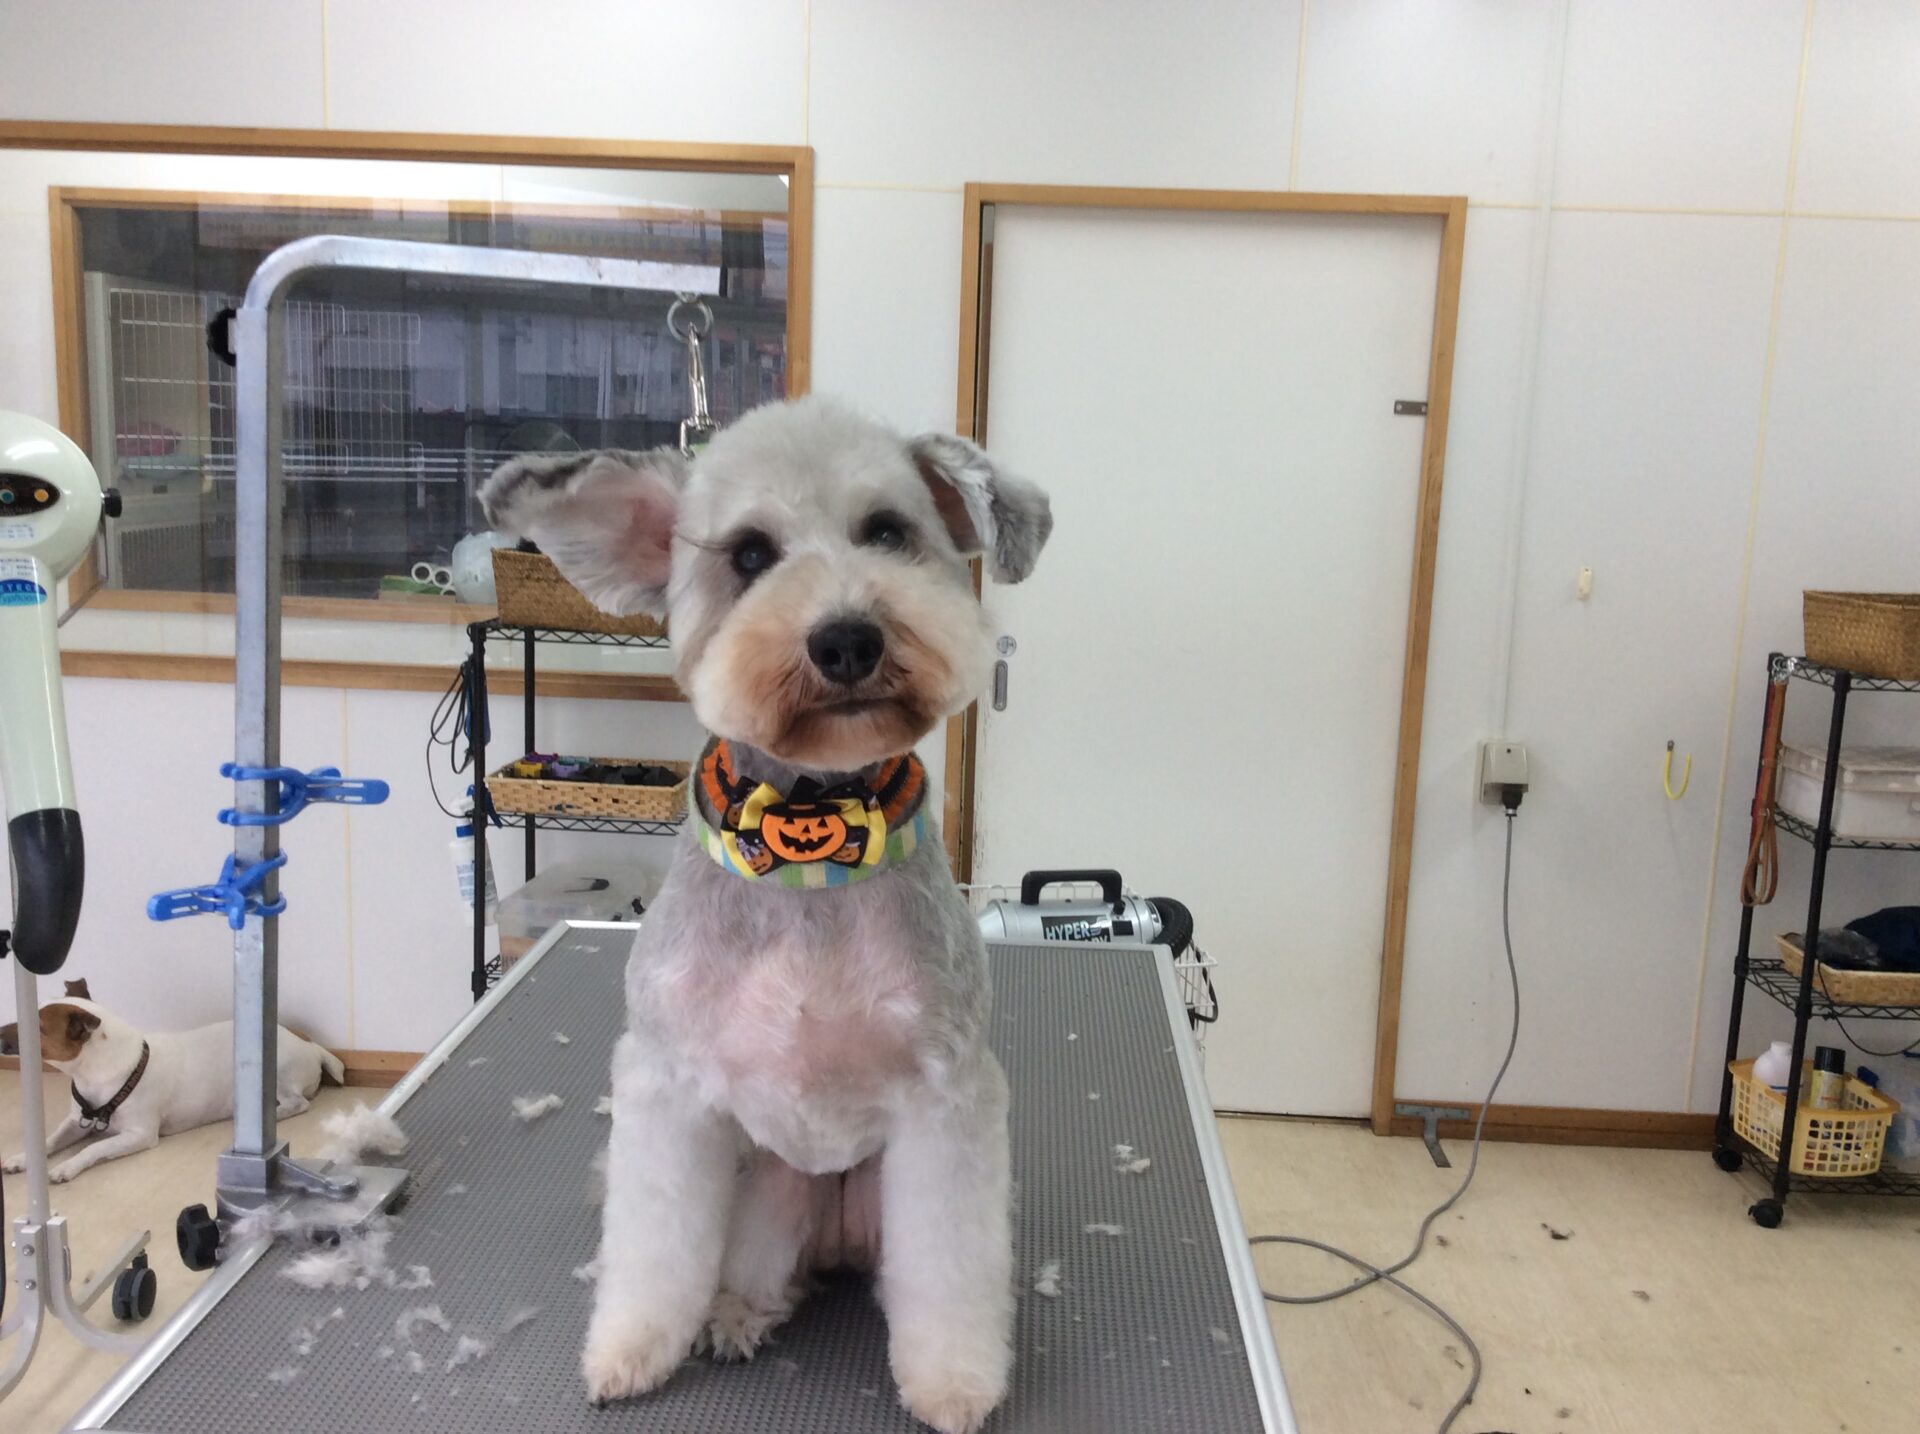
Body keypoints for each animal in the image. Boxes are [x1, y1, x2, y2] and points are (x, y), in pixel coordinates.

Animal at [1, 978, 344, 1183]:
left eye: (38, 1028)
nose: (2, 1028)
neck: (94, 1075)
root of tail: (311, 1046)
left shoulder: (139, 1135)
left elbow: (93, 1149)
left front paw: (66, 1166)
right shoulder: (76, 1121)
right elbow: (48, 1141)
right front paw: (21, 1159)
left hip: (276, 1074)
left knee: (297, 1103)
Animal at [481, 396, 1051, 1431]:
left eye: (887, 533)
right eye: (749, 555)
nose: (847, 639)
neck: (808, 848)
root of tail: (832, 1242)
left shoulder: (947, 1100)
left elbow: (950, 1267)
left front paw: (954, 1381)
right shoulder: (666, 1085)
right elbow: (654, 1244)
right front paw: (630, 1350)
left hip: (876, 1201)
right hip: (763, 1185)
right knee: (755, 1267)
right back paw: (737, 1311)